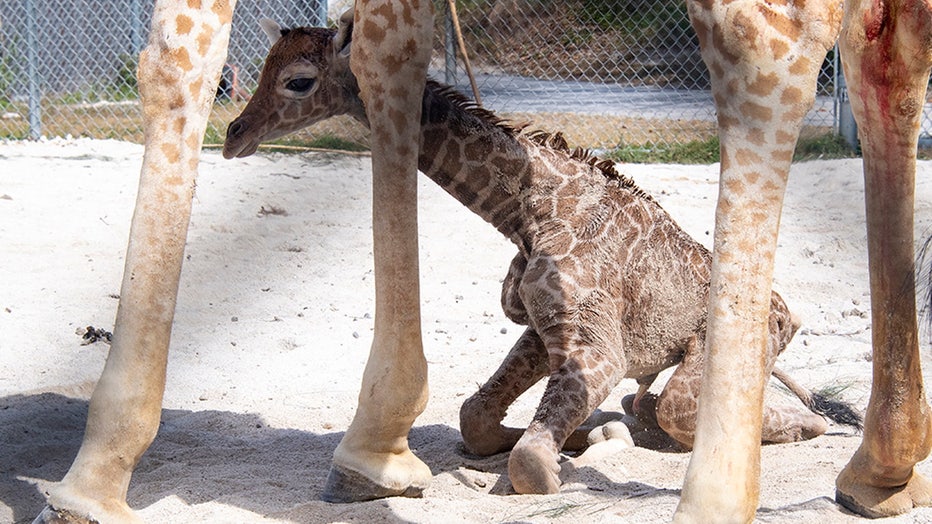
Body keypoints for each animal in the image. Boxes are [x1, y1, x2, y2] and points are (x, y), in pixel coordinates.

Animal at [224, 13, 860, 496]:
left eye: (299, 81)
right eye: (265, 67)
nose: (234, 135)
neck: (528, 209)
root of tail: (786, 311)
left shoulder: (598, 347)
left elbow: (529, 463)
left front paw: (562, 457)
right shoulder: (542, 325)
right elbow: (477, 418)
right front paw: (573, 439)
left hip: (734, 344)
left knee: (685, 409)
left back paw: (814, 424)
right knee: (650, 404)